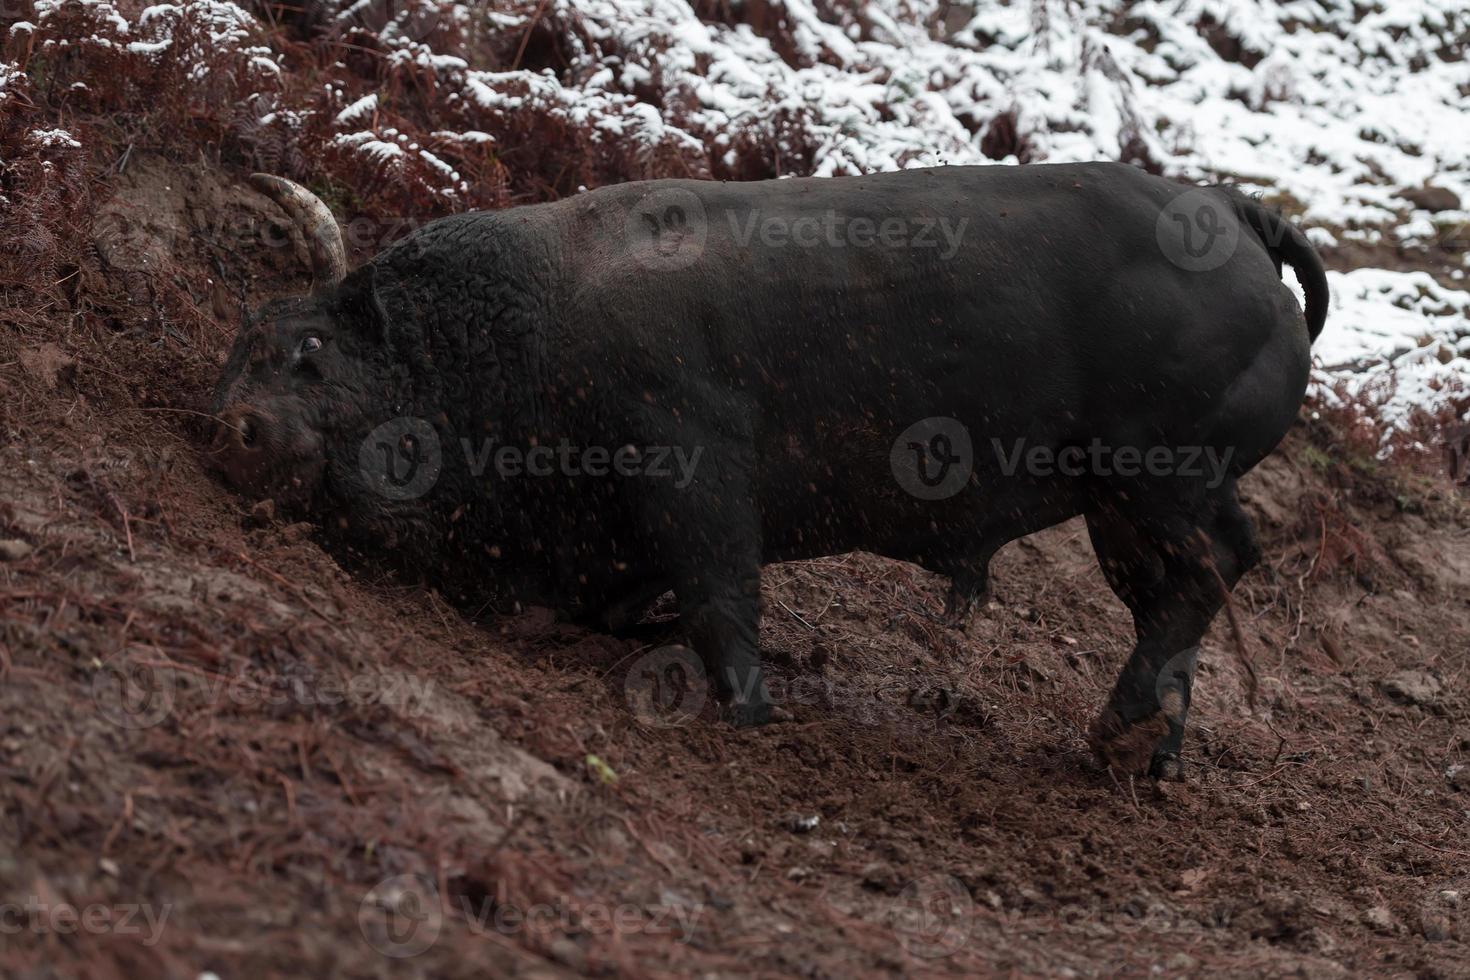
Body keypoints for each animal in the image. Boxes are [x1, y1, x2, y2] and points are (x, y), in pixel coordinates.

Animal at [213, 160, 1328, 775]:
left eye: (308, 349)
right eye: (239, 350)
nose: (239, 429)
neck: (530, 316)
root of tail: (1236, 216)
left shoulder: (691, 474)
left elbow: (721, 602)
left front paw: (748, 707)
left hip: (1150, 484)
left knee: (1201, 578)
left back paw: (1118, 737)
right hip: (1124, 505)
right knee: (1193, 583)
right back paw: (1142, 754)